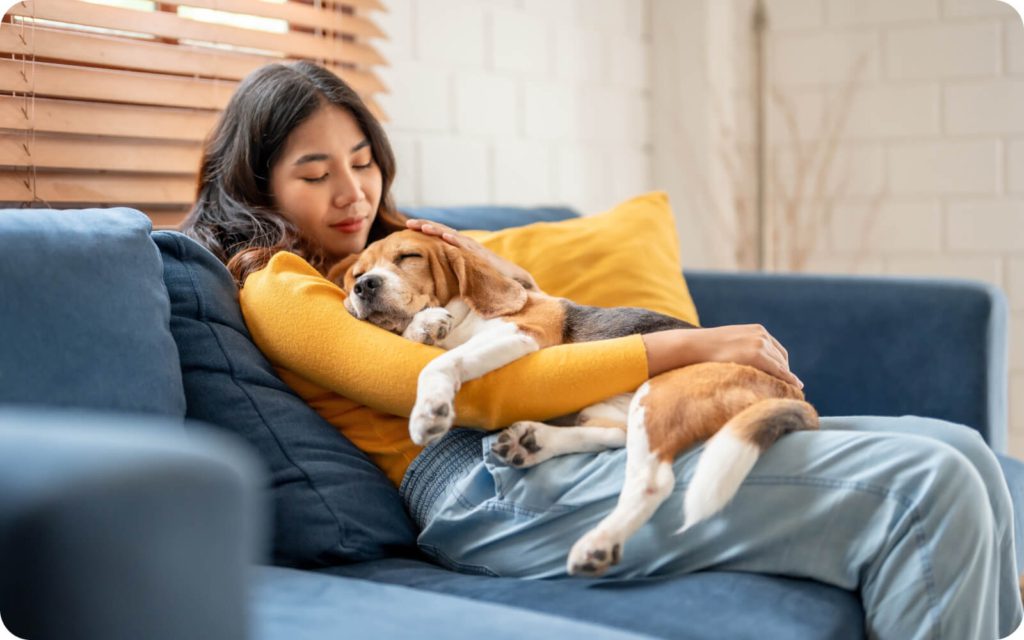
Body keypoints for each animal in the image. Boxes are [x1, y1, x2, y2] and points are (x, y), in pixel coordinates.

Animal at [331, 228, 819, 573]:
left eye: (409, 257)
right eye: (356, 274)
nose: (365, 287)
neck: (466, 312)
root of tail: (792, 390)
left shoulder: (523, 334)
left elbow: (440, 363)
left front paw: (429, 408)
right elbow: (430, 343)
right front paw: (425, 326)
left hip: (661, 393)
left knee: (652, 479)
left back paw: (598, 542)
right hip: (617, 406)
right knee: (614, 437)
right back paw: (533, 442)